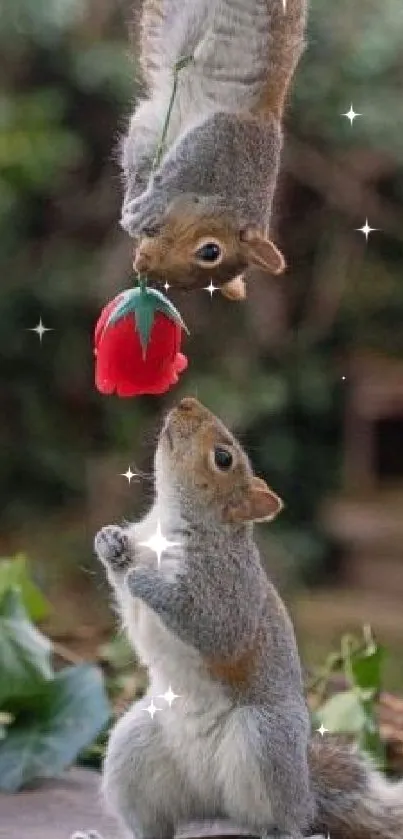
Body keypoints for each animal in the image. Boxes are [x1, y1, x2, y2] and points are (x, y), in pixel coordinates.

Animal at [93, 398, 403, 839]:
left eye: (223, 459)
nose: (186, 402)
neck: (167, 525)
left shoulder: (228, 589)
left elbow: (213, 627)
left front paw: (145, 579)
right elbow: (125, 591)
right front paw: (109, 542)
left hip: (265, 740)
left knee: (285, 819)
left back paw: (284, 827)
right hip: (133, 747)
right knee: (154, 823)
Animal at [118, 0, 308, 302]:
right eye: (210, 251)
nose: (142, 264)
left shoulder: (156, 121)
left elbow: (142, 154)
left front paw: (137, 200)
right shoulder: (226, 136)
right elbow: (178, 172)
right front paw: (146, 205)